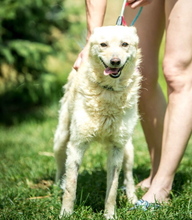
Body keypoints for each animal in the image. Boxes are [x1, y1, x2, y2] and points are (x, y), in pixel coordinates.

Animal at [53, 25, 142, 218]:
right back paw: (57, 186)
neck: (108, 91)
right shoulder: (77, 144)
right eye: (103, 44)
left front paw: (110, 215)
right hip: (61, 138)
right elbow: (71, 186)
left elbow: (112, 189)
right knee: (60, 166)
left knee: (129, 177)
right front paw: (66, 213)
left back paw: (133, 200)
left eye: (125, 44)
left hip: (128, 149)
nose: (115, 61)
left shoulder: (117, 147)